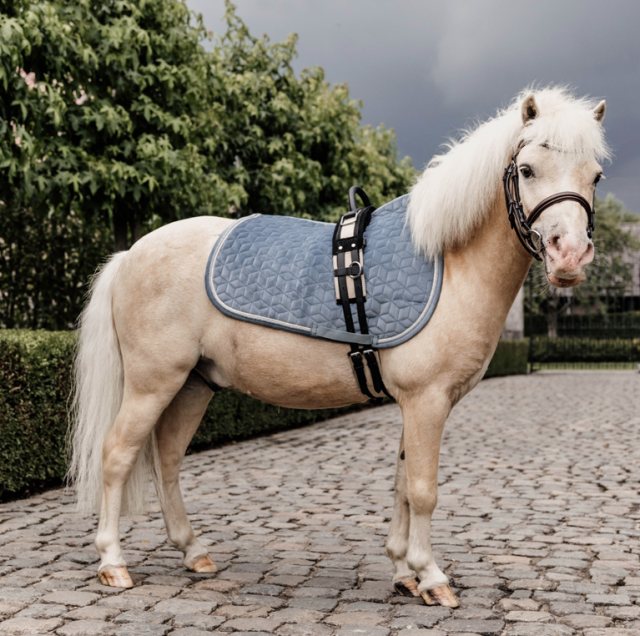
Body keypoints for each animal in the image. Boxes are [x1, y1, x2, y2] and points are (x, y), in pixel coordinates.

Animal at [69, 87, 609, 608]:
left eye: (596, 176)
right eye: (526, 169)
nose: (569, 256)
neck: (449, 263)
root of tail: (131, 253)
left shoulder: (415, 404)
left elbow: (401, 484)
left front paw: (402, 572)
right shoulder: (427, 400)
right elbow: (423, 490)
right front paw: (432, 577)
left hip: (194, 385)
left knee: (168, 461)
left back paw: (193, 551)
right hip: (152, 383)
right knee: (117, 454)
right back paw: (113, 563)